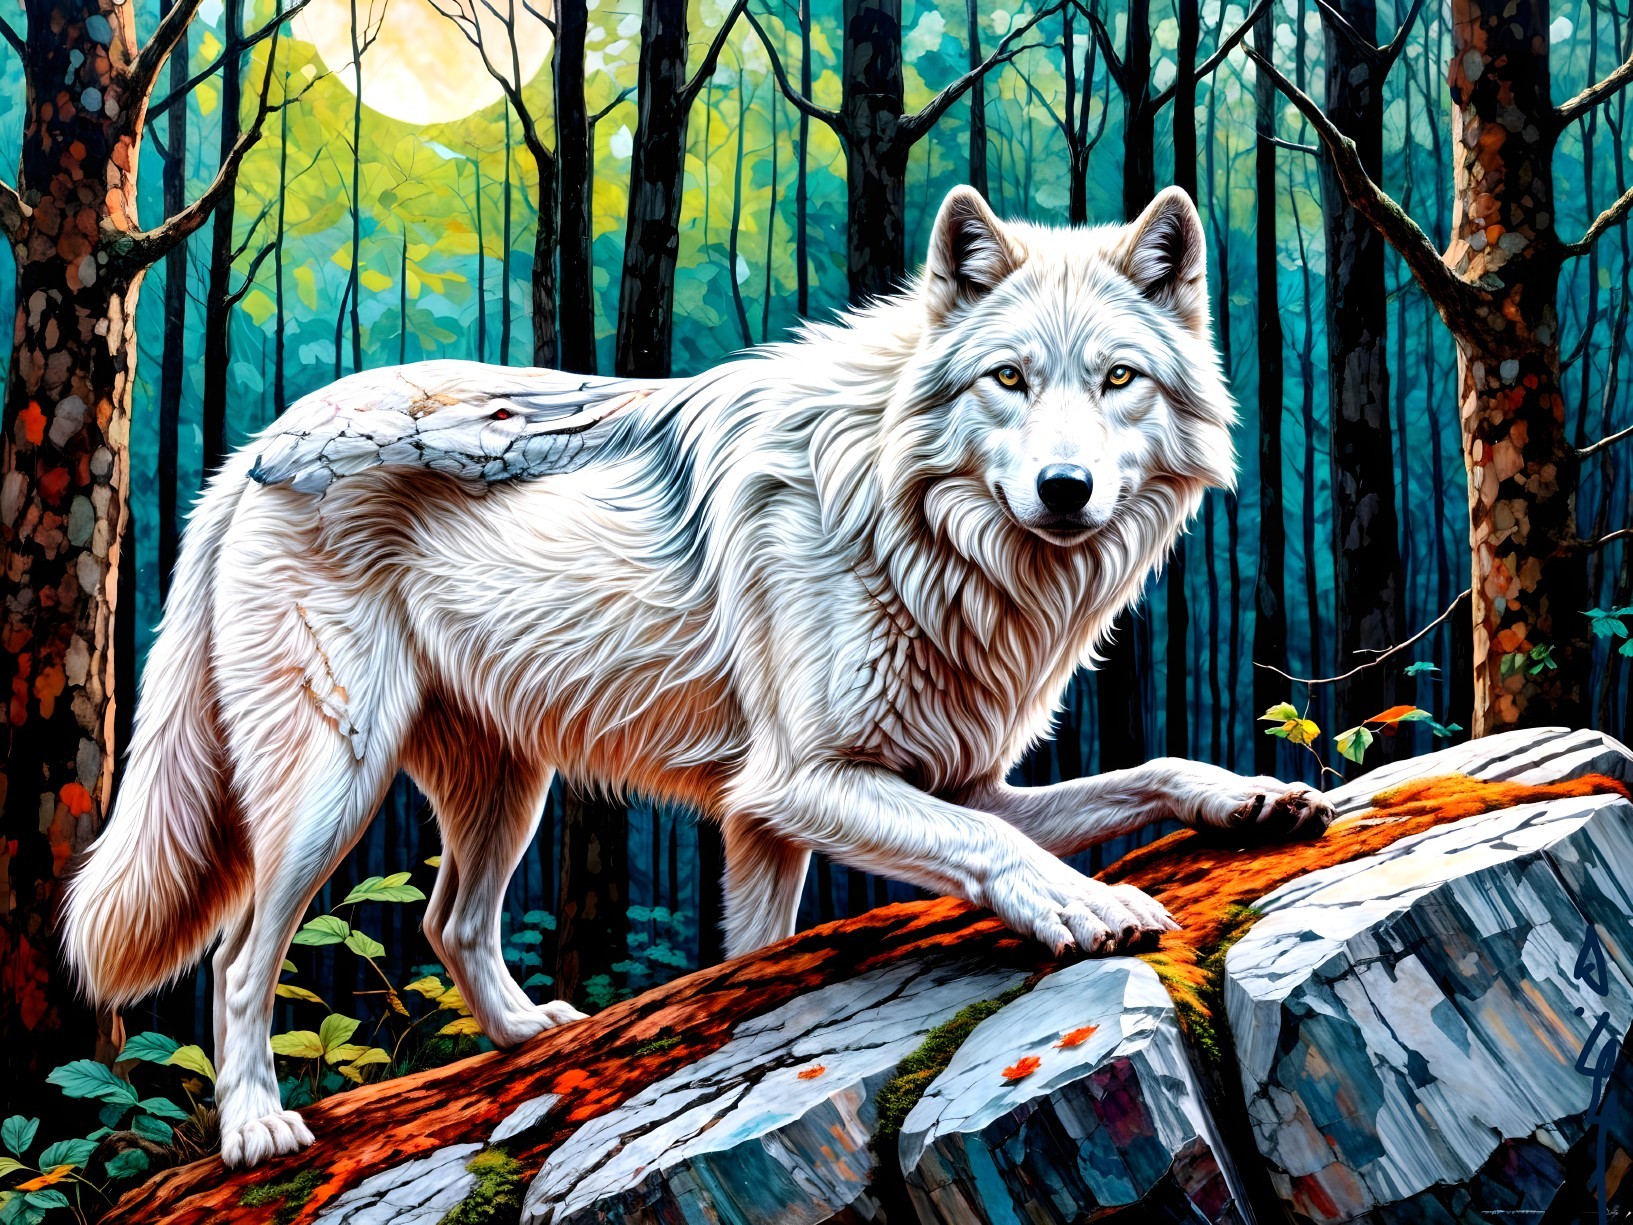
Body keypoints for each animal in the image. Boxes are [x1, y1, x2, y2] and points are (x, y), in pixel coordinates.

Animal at [63, 185, 1331, 1168]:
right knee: (241, 956)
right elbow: (990, 849)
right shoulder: (797, 785)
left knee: (447, 920)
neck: (912, 528)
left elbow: (1140, 774)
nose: (1065, 490)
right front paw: (1083, 904)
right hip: (333, 783)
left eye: (1117, 378)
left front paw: (1252, 797)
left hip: (505, 791)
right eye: (1009, 380)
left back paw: (530, 1036)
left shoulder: (916, 787)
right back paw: (257, 1129)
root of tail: (252, 450)